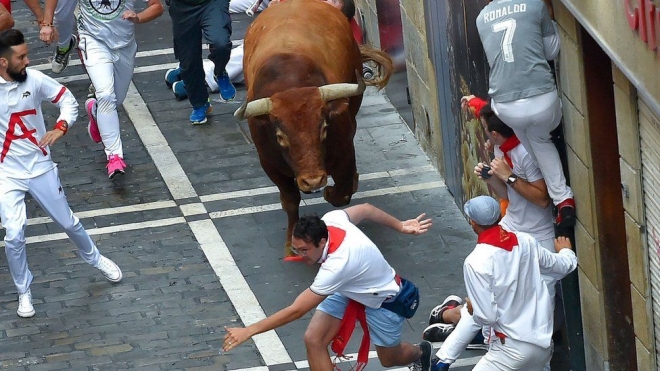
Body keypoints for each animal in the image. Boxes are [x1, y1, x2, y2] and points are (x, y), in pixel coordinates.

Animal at [237, 0, 392, 258]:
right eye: (280, 136)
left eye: (324, 129)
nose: (313, 181)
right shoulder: (269, 164)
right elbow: (290, 200)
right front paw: (291, 242)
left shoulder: (344, 150)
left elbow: (343, 191)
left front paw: (332, 191)